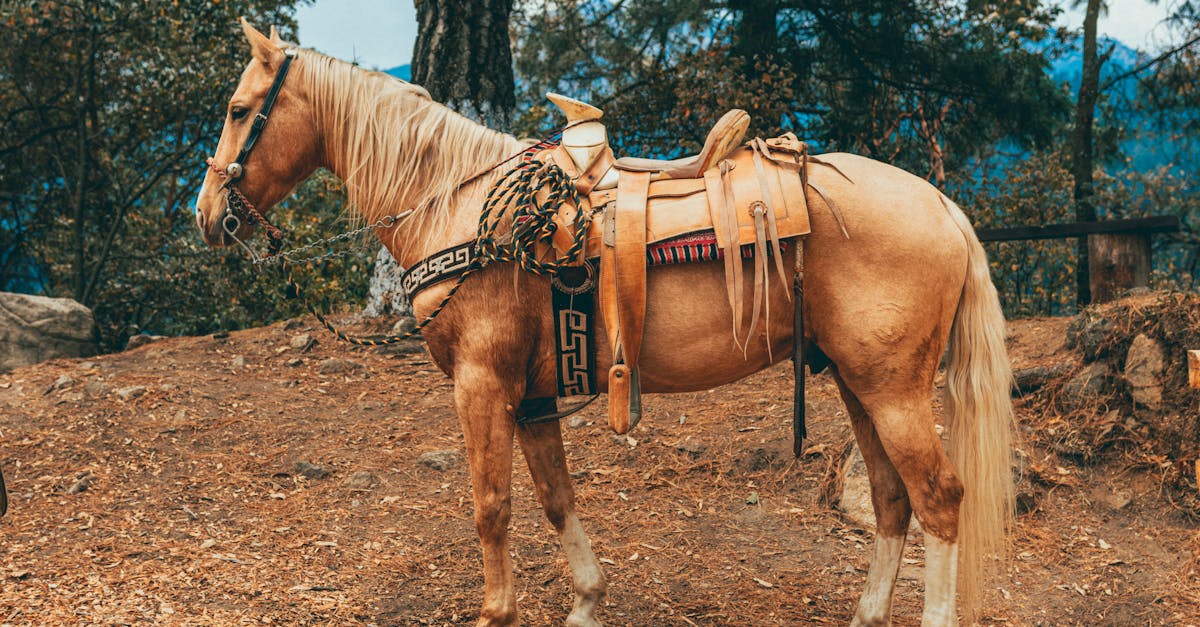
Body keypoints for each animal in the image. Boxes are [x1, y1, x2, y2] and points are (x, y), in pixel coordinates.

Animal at [194, 20, 1012, 624]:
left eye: (237, 111)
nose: (207, 216)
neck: (462, 205)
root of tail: (943, 205)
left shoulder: (481, 384)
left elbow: (491, 506)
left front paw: (499, 611)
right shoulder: (530, 395)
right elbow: (555, 497)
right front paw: (587, 600)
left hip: (891, 389)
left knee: (939, 500)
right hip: (853, 381)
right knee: (892, 498)